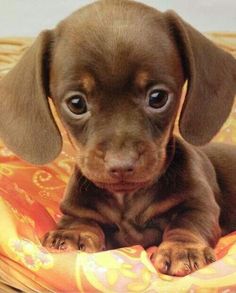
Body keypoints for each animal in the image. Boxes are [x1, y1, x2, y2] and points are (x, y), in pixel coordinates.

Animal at [0, 0, 235, 276]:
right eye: (76, 103)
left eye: (158, 97)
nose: (121, 165)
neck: (126, 199)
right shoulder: (77, 208)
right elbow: (80, 219)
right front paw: (72, 234)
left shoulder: (200, 204)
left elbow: (189, 223)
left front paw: (182, 249)